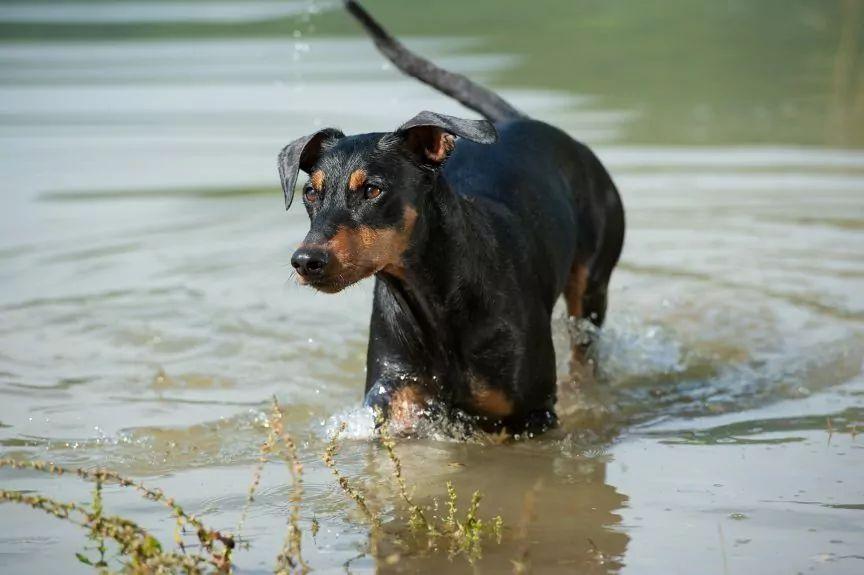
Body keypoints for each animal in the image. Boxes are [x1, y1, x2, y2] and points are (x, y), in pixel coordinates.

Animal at [280, 0, 624, 432]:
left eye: (373, 189)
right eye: (310, 192)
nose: (306, 261)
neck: (436, 300)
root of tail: (525, 120)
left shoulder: (534, 414)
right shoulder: (397, 400)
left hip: (593, 285)